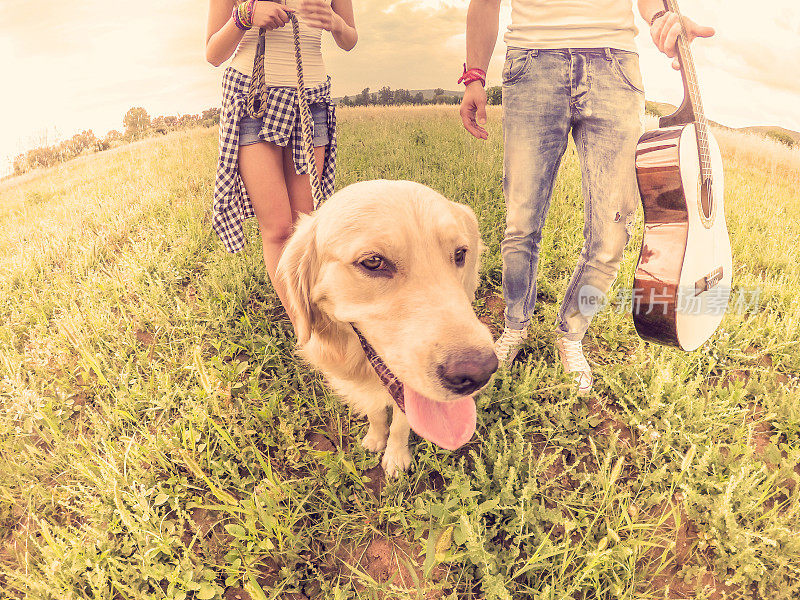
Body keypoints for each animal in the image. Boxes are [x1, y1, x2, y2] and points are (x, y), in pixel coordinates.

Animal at [278, 180, 496, 476]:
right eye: (373, 262)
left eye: (460, 254)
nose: (479, 373)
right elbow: (376, 413)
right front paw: (375, 438)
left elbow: (400, 424)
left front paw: (394, 456)